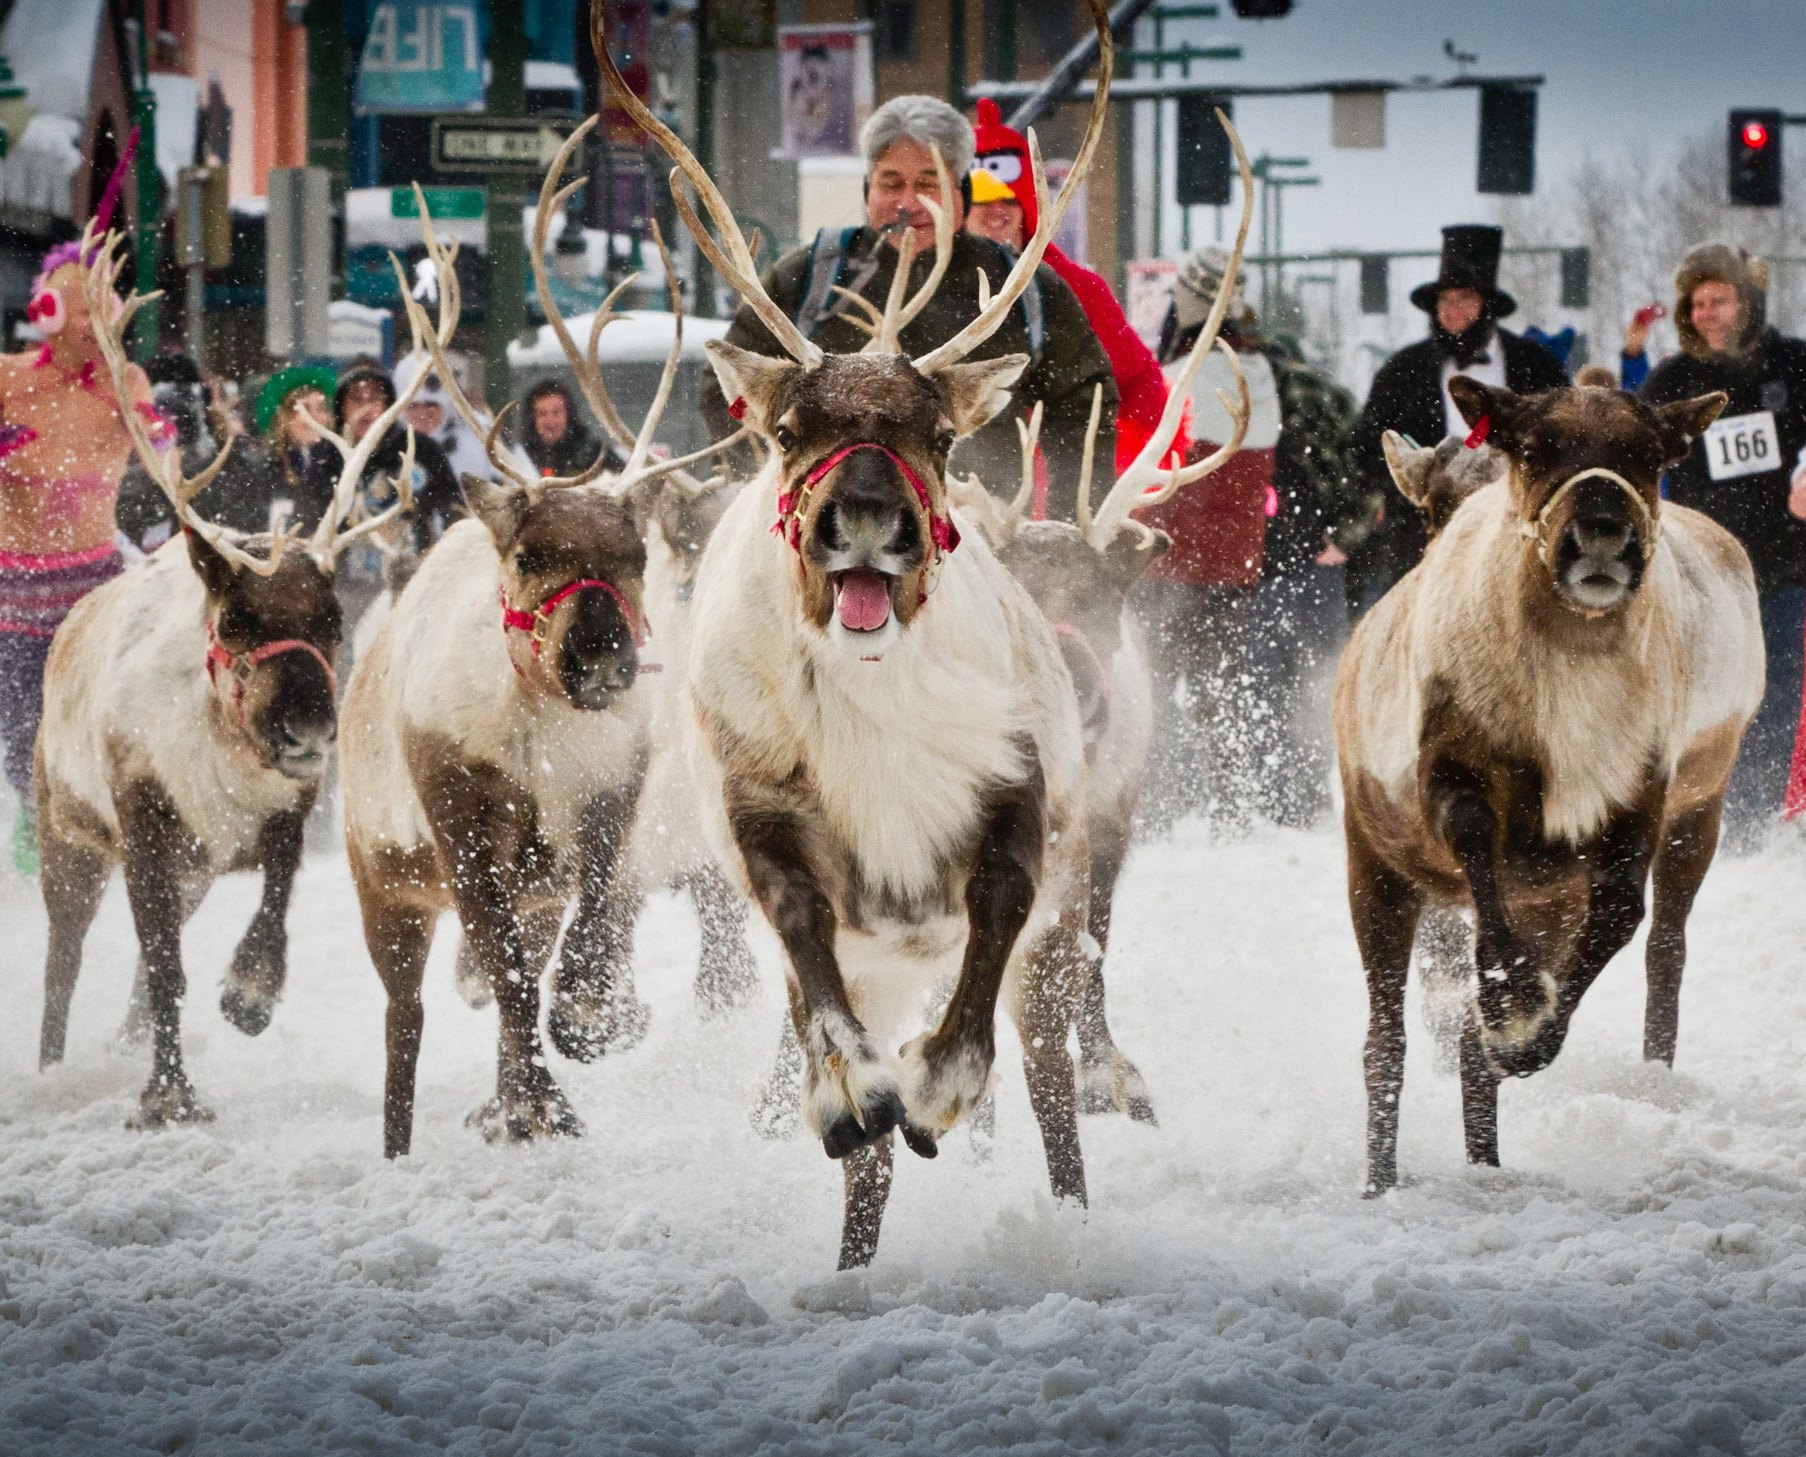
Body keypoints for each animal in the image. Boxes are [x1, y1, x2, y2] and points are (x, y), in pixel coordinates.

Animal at [34, 227, 447, 1128]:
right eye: (232, 623)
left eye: (332, 622)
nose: (309, 728)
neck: (220, 750)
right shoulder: (144, 820)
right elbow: (163, 965)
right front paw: (168, 1094)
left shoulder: (282, 810)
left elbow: (276, 896)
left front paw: (250, 991)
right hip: (65, 829)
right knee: (65, 958)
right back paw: (51, 1064)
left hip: (189, 869)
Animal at [341, 160, 748, 1158]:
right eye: (530, 555)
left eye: (631, 554)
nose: (601, 655)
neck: (542, 735)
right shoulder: (461, 823)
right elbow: (507, 976)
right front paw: (542, 1100)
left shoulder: (606, 806)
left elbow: (585, 937)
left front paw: (585, 1023)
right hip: (382, 880)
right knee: (406, 1018)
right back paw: (408, 1137)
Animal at [598, 0, 1117, 1267]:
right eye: (790, 427)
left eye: (938, 430)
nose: (868, 519)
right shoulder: (761, 817)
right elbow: (805, 962)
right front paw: (850, 1093)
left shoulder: (1018, 796)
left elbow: (994, 924)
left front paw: (936, 1085)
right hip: (873, 957)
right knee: (867, 1151)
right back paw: (851, 1256)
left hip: (1059, 938)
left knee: (1053, 1080)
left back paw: (1067, 1212)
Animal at [946, 110, 1254, 1126]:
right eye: (1012, 592)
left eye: (1105, 593)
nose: (1077, 688)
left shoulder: (1114, 815)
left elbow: (1087, 955)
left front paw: (1107, 1073)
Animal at [1335, 378, 1764, 1195]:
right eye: (1534, 448)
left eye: (1648, 453)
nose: (1600, 532)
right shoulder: (1449, 776)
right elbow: (1476, 841)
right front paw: (1509, 998)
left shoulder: (1641, 798)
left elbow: (1622, 913)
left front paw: (1522, 1032)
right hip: (1373, 864)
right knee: (1382, 1038)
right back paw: (1380, 1180)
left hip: (1697, 813)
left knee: (1663, 945)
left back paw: (1493, 1153)